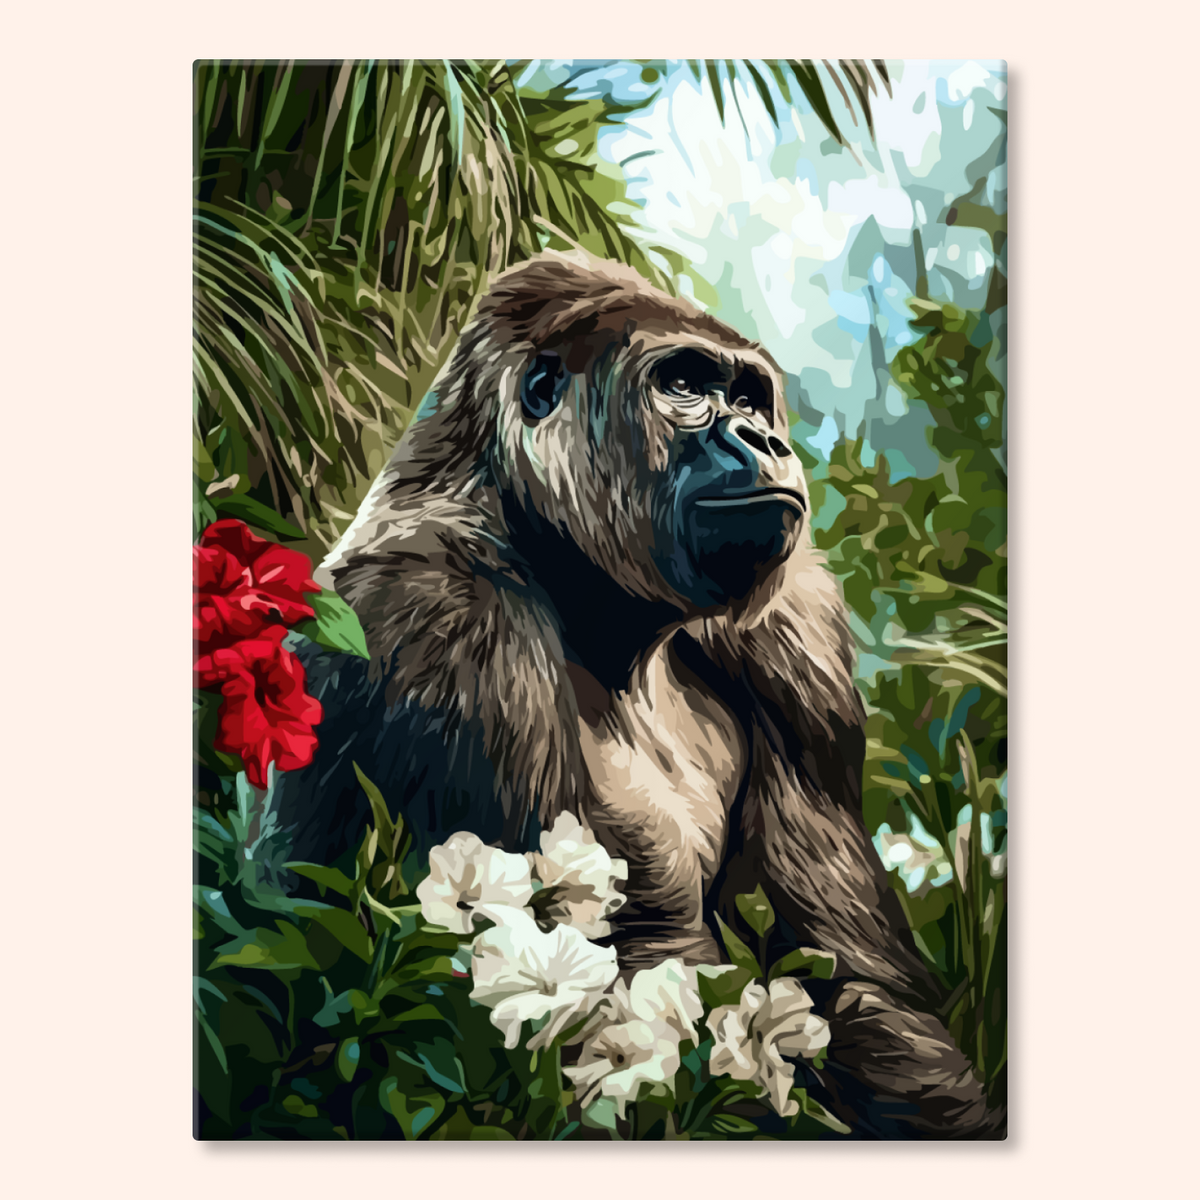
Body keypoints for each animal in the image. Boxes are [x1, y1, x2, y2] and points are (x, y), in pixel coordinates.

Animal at [272, 252, 1001, 1139]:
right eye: (682, 384)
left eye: (749, 397)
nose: (764, 438)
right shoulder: (435, 615)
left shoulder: (798, 635)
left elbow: (857, 984)